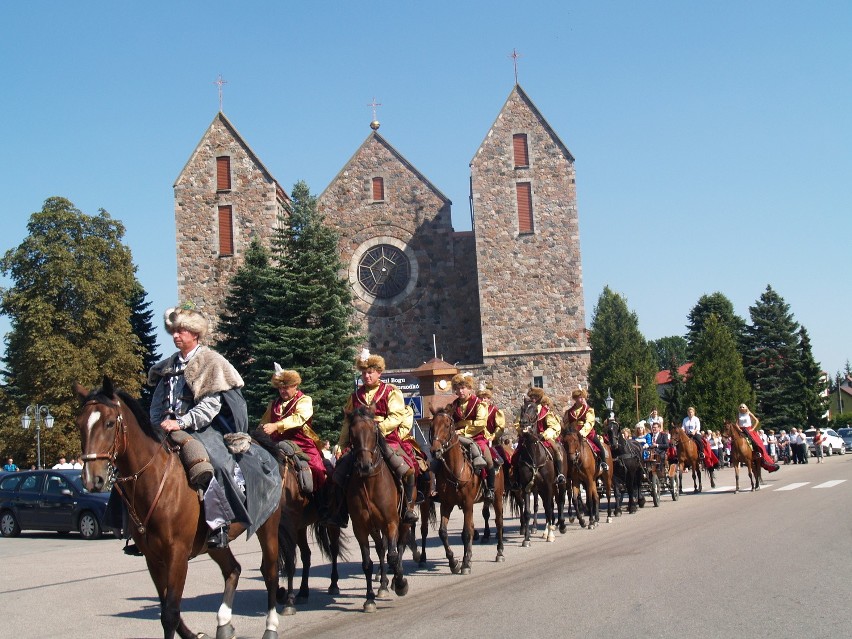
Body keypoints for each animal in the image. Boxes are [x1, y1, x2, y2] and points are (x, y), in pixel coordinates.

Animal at [73, 380, 282, 639]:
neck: (155, 480)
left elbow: (170, 613)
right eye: (80, 424)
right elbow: (166, 607)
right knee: (233, 569)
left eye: (110, 423)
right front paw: (193, 634)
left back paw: (270, 627)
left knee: (270, 572)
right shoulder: (153, 558)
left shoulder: (177, 554)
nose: (92, 479)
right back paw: (224, 624)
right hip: (214, 544)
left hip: (268, 527)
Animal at [348, 408, 412, 612]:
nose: (364, 466)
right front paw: (369, 599)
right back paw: (383, 584)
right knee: (381, 549)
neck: (369, 483)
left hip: (404, 522)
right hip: (375, 528)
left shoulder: (391, 522)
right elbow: (367, 563)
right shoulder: (360, 528)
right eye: (352, 433)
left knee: (399, 546)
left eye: (373, 431)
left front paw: (400, 583)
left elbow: (393, 555)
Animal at [430, 408, 502, 576]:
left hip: (497, 498)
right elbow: (443, 532)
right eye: (432, 426)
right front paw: (454, 562)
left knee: (499, 522)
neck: (455, 469)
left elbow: (466, 533)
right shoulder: (446, 504)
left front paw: (465, 563)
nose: (435, 451)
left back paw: (500, 552)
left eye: (447, 425)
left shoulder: (468, 503)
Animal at [512, 400, 564, 544]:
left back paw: (559, 526)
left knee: (557, 502)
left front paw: (550, 535)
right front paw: (526, 539)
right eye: (522, 408)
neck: (534, 455)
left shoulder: (548, 485)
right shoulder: (526, 487)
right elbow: (527, 512)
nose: (523, 422)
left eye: (535, 410)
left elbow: (549, 508)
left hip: (559, 484)